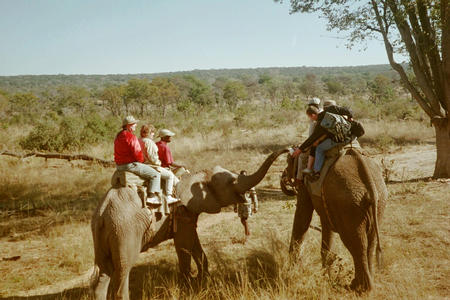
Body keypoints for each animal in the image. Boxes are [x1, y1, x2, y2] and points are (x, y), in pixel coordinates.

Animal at [91, 149, 286, 298]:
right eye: (231, 182)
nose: (290, 149)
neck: (196, 174)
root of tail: (102, 214)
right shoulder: (181, 210)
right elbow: (184, 244)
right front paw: (189, 286)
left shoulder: (189, 212)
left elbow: (194, 241)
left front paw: (203, 279)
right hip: (125, 230)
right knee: (123, 269)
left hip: (105, 232)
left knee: (104, 271)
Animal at [290, 149, 388, 292]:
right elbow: (325, 226)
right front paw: (325, 274)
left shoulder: (304, 182)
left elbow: (303, 216)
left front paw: (292, 269)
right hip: (379, 201)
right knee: (371, 242)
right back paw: (365, 285)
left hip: (349, 204)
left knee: (356, 243)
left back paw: (359, 288)